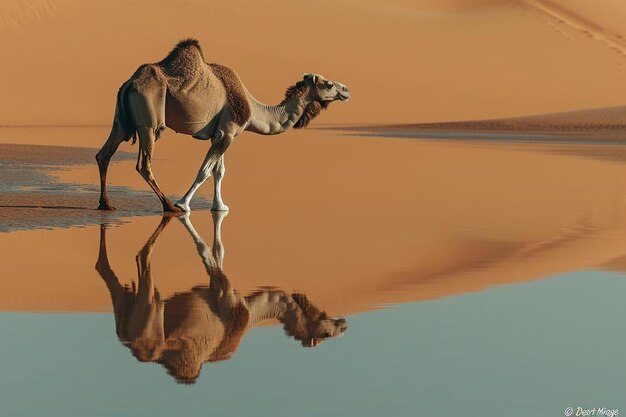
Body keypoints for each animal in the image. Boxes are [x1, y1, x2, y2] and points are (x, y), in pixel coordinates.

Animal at [94, 211, 346, 384]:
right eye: (325, 334)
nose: (344, 324)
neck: (250, 311)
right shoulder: (224, 293)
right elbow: (208, 255)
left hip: (128, 311)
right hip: (150, 319)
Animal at [97, 38, 352, 211]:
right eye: (328, 84)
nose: (347, 90)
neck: (253, 110)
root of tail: (131, 83)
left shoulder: (222, 134)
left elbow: (219, 172)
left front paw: (219, 207)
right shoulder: (227, 132)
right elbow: (205, 171)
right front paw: (183, 204)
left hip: (121, 119)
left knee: (104, 154)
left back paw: (105, 204)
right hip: (150, 121)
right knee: (144, 163)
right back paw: (169, 206)